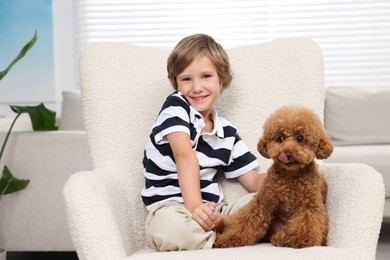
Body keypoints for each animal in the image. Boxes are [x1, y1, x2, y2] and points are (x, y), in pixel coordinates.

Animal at [215, 106, 334, 250]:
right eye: (280, 138)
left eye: (300, 138)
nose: (286, 153)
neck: (290, 176)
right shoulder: (264, 201)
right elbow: (247, 219)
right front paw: (229, 238)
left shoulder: (310, 204)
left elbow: (308, 222)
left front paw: (303, 240)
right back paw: (281, 239)